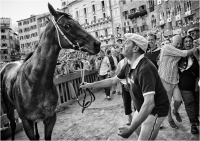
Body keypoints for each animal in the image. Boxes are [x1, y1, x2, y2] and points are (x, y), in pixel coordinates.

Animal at [0, 3, 100, 140]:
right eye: (67, 25)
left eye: (78, 23)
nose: (97, 44)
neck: (35, 83)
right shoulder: (26, 122)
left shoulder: (50, 118)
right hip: (9, 108)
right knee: (13, 125)